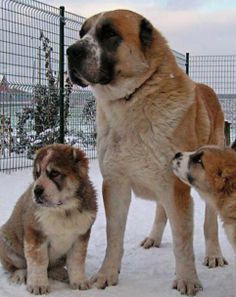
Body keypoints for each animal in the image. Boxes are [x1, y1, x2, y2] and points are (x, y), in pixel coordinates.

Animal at [0, 143, 97, 294]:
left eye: (54, 173)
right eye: (37, 174)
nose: (36, 191)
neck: (63, 210)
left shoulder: (81, 237)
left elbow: (76, 261)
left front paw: (79, 281)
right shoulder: (35, 234)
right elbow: (38, 261)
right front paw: (38, 285)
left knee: (51, 268)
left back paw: (60, 272)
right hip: (6, 242)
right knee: (18, 266)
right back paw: (20, 275)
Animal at [67, 8, 226, 294]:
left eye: (109, 33)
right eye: (81, 33)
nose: (71, 51)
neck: (134, 98)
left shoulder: (175, 187)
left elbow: (183, 239)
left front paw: (187, 279)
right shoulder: (116, 183)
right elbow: (113, 233)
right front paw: (107, 274)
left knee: (209, 223)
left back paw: (214, 254)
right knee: (161, 210)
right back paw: (154, 237)